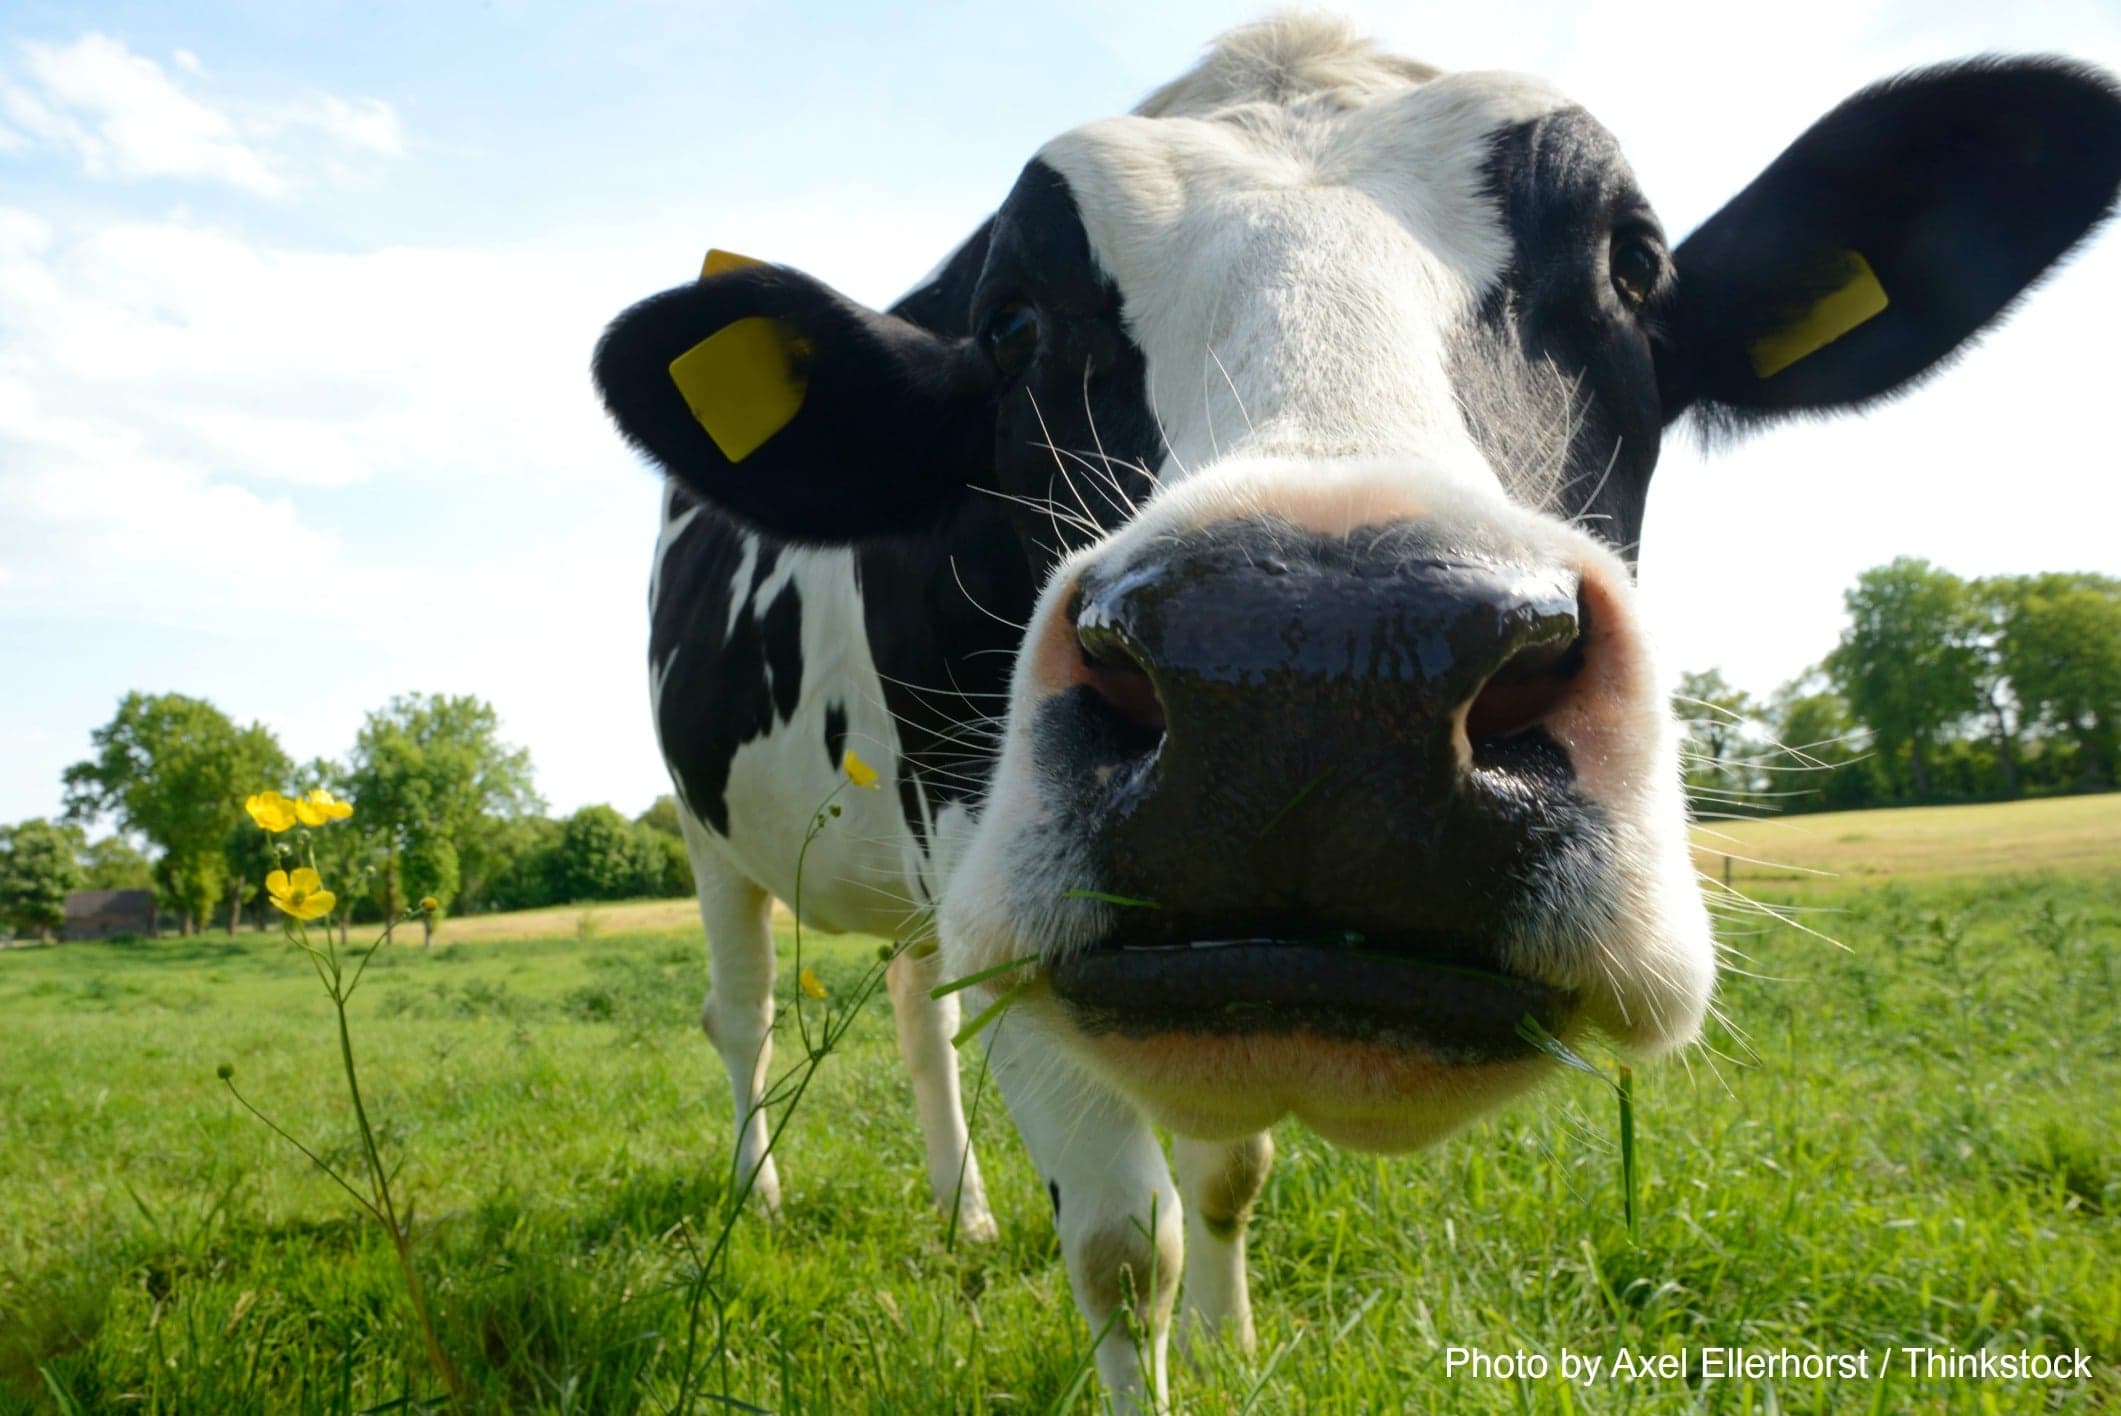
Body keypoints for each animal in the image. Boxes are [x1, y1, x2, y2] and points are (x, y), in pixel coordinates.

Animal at [596, 17, 2121, 1406]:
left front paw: (1234, 1346)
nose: (1313, 670)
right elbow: (1122, 1250)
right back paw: (761, 1199)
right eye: (1011, 320)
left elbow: (1226, 1176)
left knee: (917, 1015)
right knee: (747, 1020)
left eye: (1632, 264)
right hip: (713, 834)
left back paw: (960, 1215)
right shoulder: (994, 882)